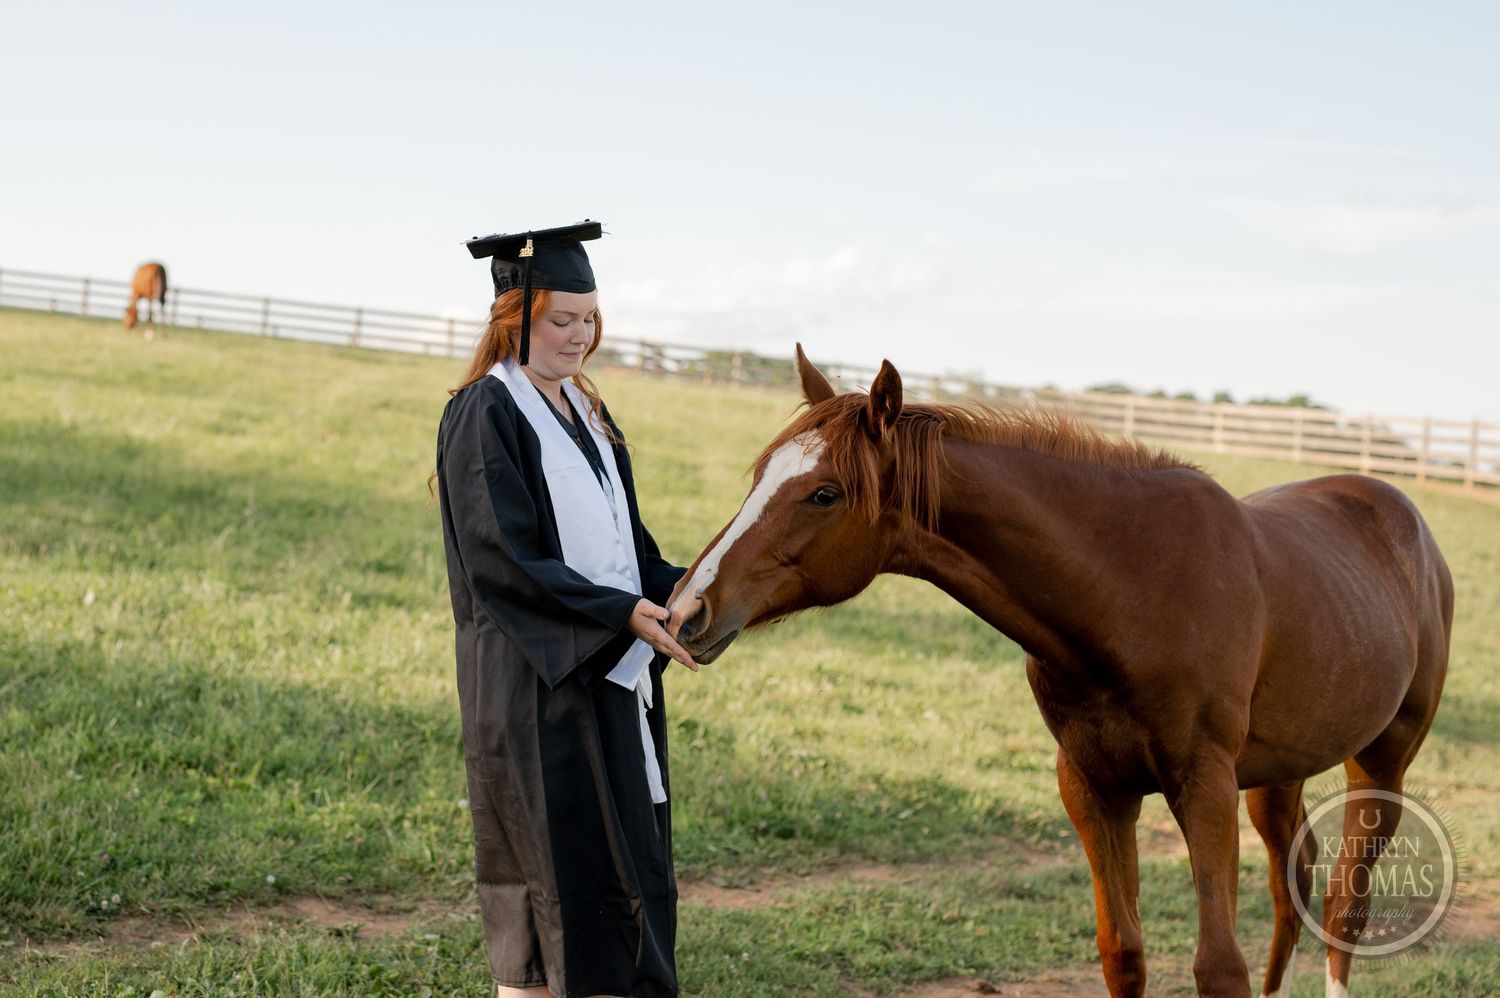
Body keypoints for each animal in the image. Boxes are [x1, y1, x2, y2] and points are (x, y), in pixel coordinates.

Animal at [667, 347, 1452, 998]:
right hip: (1279, 773)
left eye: (825, 493)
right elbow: (1123, 953)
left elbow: (1217, 966)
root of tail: (1404, 516)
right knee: (1294, 886)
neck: (1132, 589)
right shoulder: (1093, 786)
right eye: (761, 477)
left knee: (1346, 904)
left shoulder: (1204, 785)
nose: (685, 611)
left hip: (1380, 762)